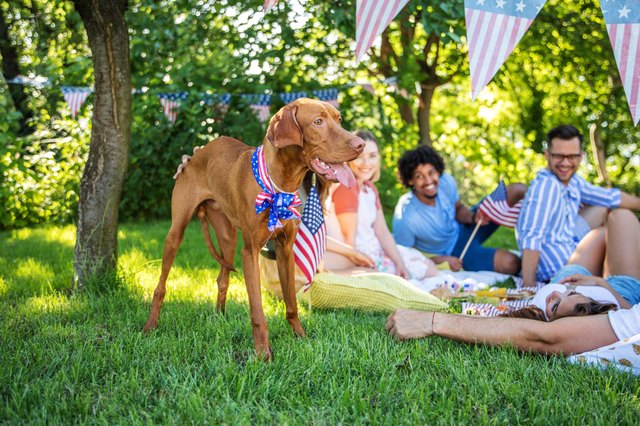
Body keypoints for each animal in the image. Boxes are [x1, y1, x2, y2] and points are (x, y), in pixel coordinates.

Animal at [144, 97, 364, 360]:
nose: (361, 145)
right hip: (176, 232)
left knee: (222, 279)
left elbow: (291, 303)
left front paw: (301, 338)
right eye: (318, 122)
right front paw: (263, 354)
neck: (279, 184)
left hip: (227, 237)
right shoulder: (250, 252)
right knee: (161, 286)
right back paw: (150, 326)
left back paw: (219, 319)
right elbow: (258, 311)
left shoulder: (285, 250)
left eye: (338, 119)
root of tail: (197, 155)